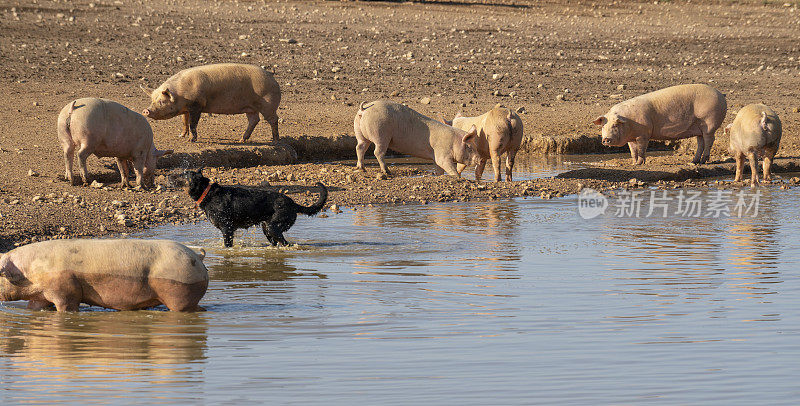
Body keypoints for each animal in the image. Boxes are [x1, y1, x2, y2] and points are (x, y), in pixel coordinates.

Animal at [185, 168, 328, 247]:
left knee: (285, 243)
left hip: (273, 228)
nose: (173, 174)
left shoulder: (227, 229)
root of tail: (293, 204)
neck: (208, 193)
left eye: (184, 174)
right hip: (267, 229)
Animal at [592, 83, 724, 166]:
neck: (629, 123)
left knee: (709, 140)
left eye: (615, 125)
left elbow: (641, 149)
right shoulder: (631, 138)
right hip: (699, 129)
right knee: (700, 142)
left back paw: (702, 161)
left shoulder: (643, 134)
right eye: (603, 126)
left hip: (709, 123)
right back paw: (694, 161)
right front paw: (633, 163)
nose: (606, 139)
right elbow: (633, 151)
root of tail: (721, 95)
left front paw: (639, 164)